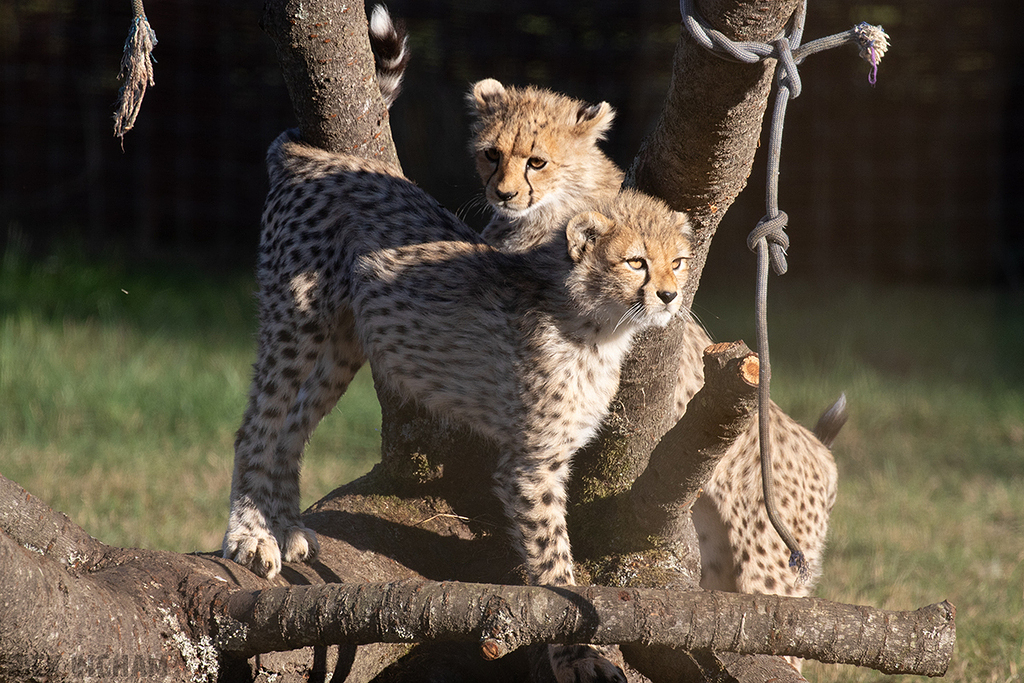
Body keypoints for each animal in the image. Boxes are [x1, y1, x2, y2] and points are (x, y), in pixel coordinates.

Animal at [222, 129, 692, 683]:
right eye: (636, 261)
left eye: (678, 261)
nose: (670, 295)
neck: (594, 321)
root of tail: (311, 158)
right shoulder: (531, 464)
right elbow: (555, 564)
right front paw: (579, 654)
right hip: (298, 322)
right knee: (258, 426)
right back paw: (251, 535)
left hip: (341, 346)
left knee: (292, 430)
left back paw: (286, 526)